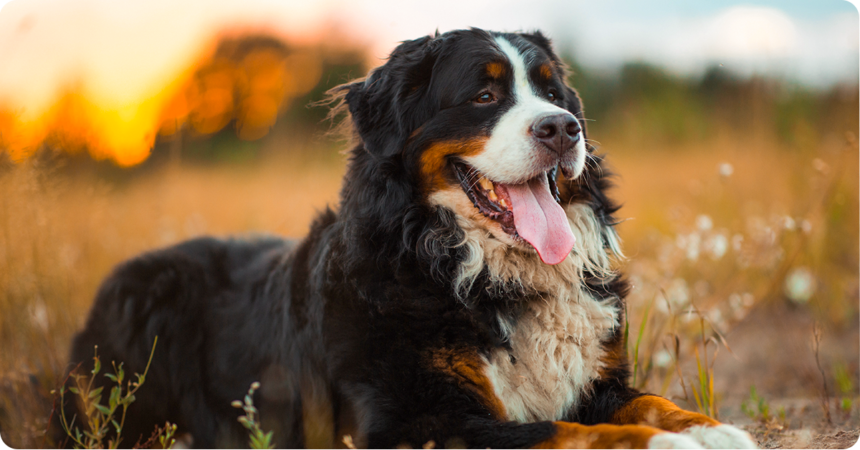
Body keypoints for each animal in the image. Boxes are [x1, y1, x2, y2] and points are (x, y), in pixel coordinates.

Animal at [62, 29, 760, 450]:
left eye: (553, 92)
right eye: (484, 93)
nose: (564, 128)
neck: (484, 274)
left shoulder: (597, 381)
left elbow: (651, 401)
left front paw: (712, 429)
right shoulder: (416, 421)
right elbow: (558, 432)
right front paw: (666, 443)